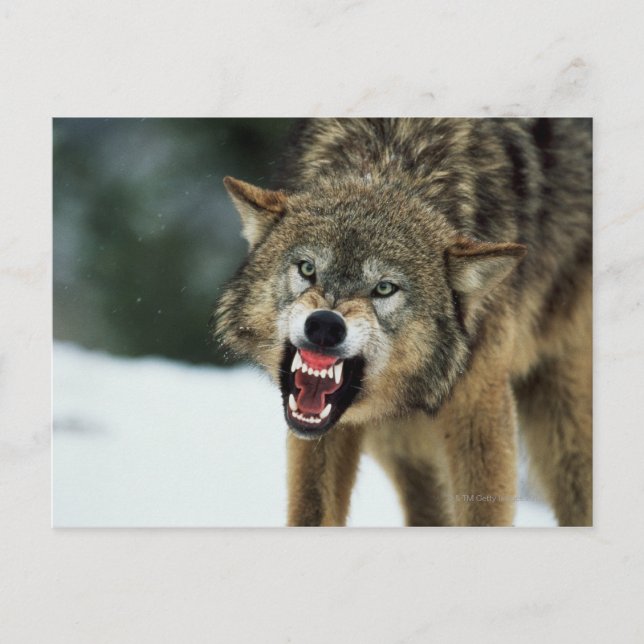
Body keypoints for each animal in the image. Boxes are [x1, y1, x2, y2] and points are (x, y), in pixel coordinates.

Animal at [215, 118, 592, 527]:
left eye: (384, 288)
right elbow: (312, 512)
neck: (391, 158)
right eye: (307, 269)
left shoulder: (479, 407)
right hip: (400, 442)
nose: (325, 325)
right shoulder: (323, 429)